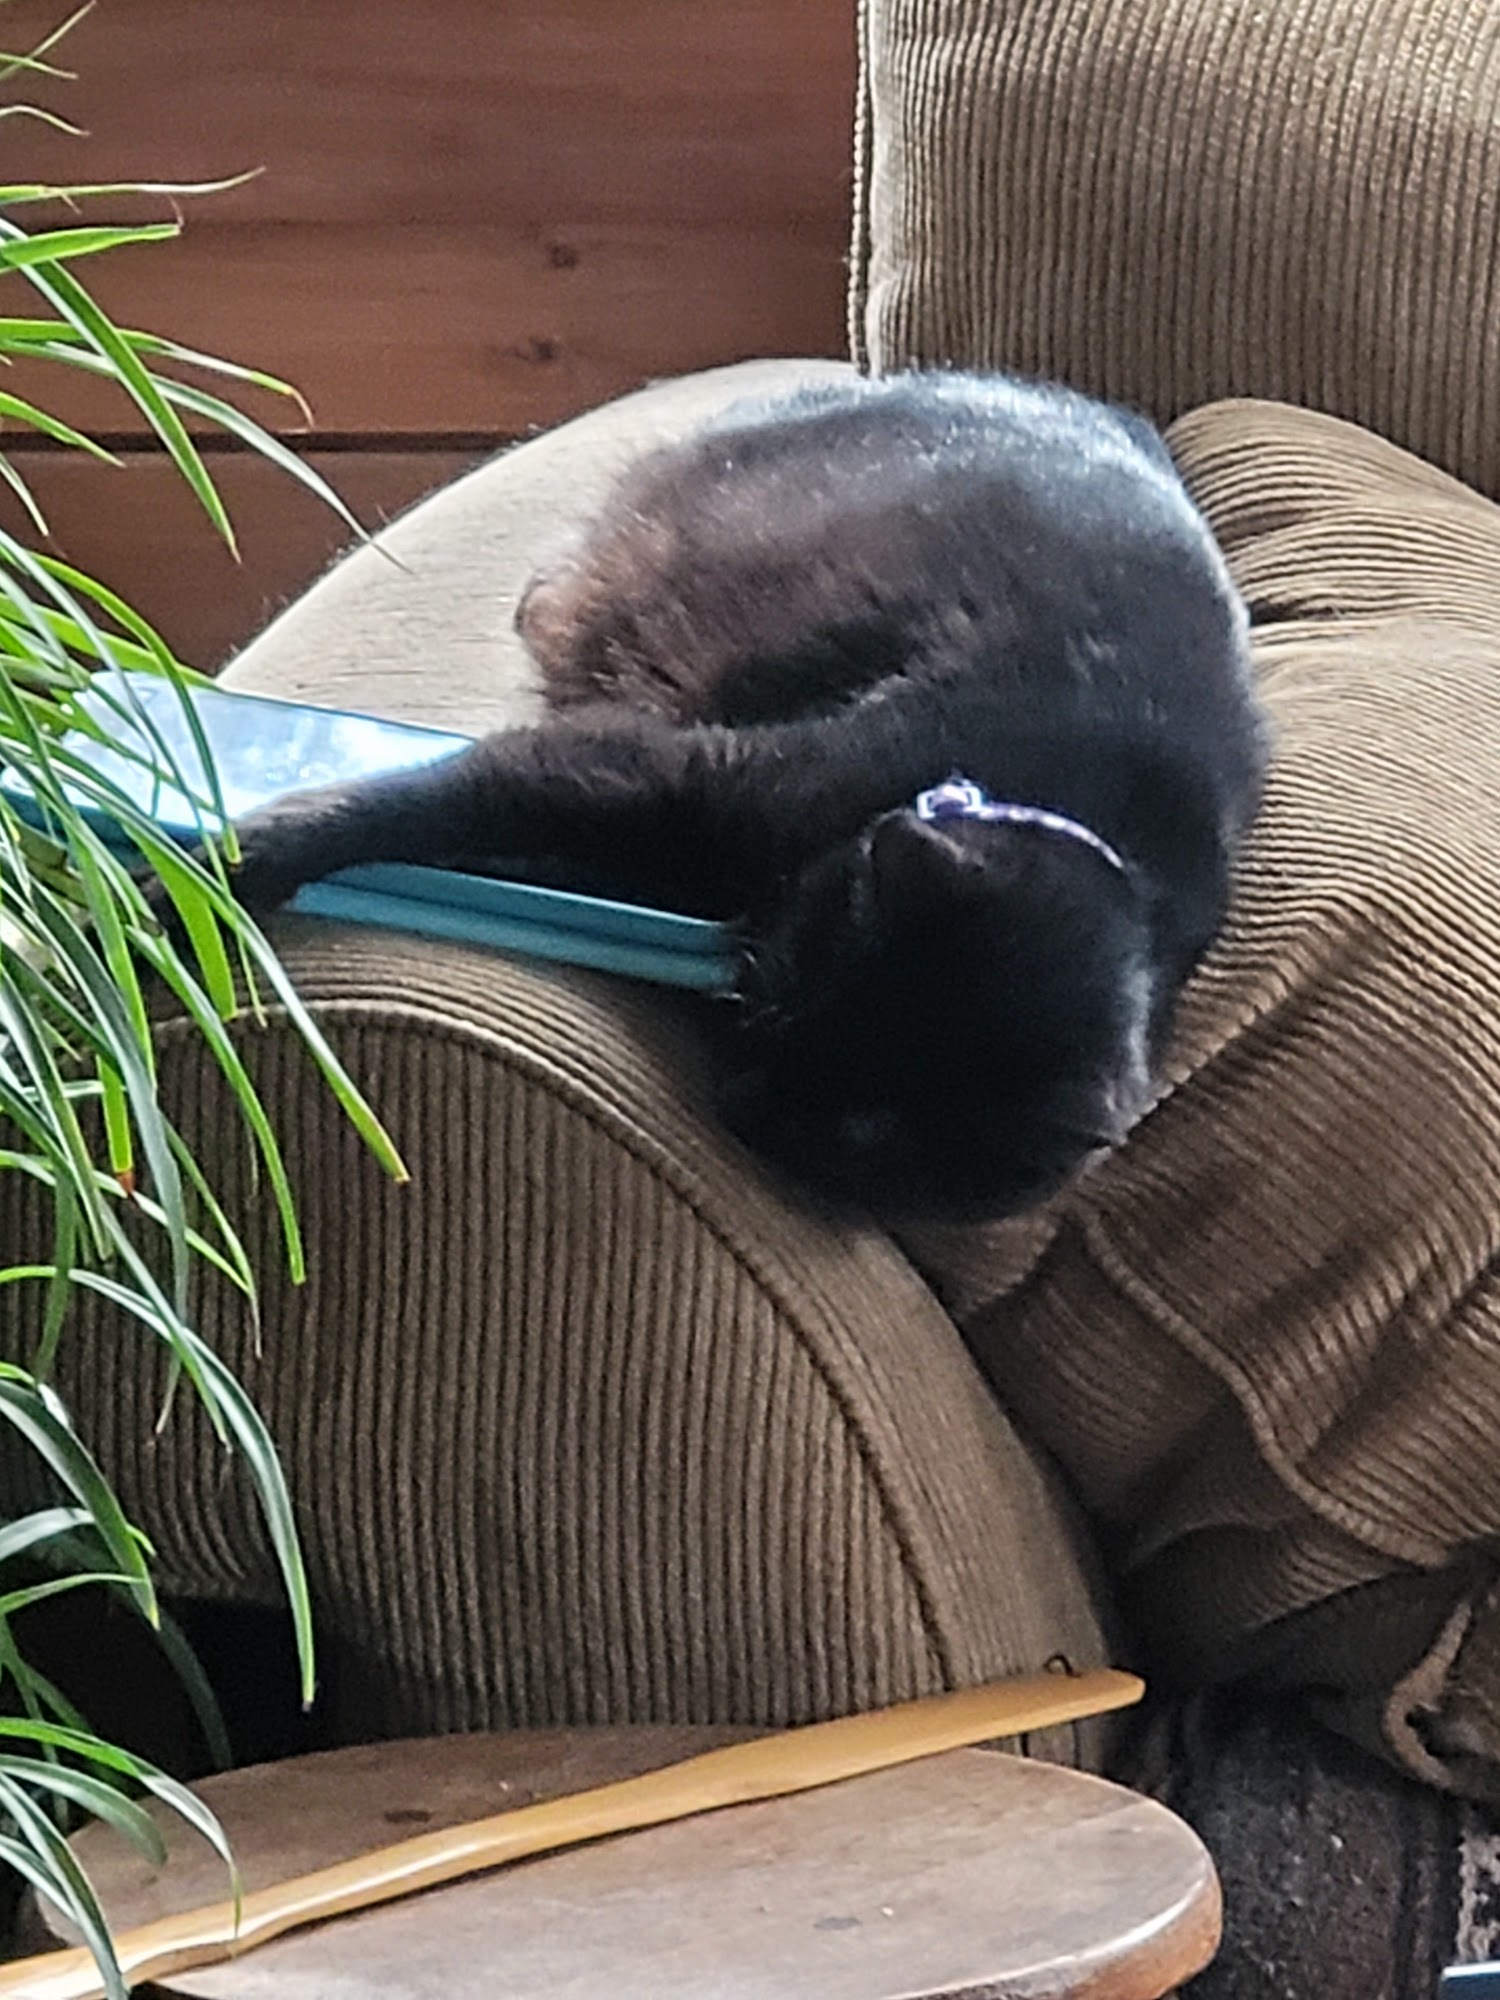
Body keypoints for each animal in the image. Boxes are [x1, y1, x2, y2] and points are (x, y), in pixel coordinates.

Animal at [221, 370, 1268, 1219]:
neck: (1086, 815)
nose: (751, 1101)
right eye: (796, 1011)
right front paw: (239, 859)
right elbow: (441, 796)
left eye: (867, 1134)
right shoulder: (665, 774)